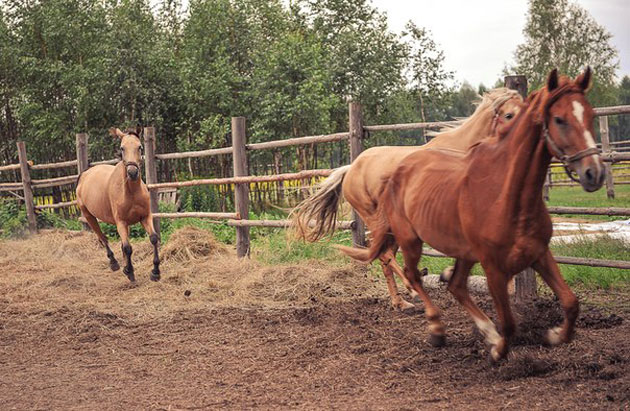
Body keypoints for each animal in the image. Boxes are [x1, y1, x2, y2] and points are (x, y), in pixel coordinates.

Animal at [77, 127, 162, 284]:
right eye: (122, 148)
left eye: (140, 147)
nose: (132, 172)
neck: (131, 192)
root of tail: (84, 175)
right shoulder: (120, 222)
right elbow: (128, 247)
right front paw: (130, 272)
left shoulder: (145, 217)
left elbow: (153, 238)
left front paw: (155, 272)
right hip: (89, 216)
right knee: (103, 238)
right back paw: (114, 263)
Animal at [294, 88, 524, 310]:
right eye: (508, 114)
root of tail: (351, 168)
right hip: (376, 219)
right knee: (384, 255)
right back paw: (412, 291)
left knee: (384, 255)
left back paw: (401, 303)